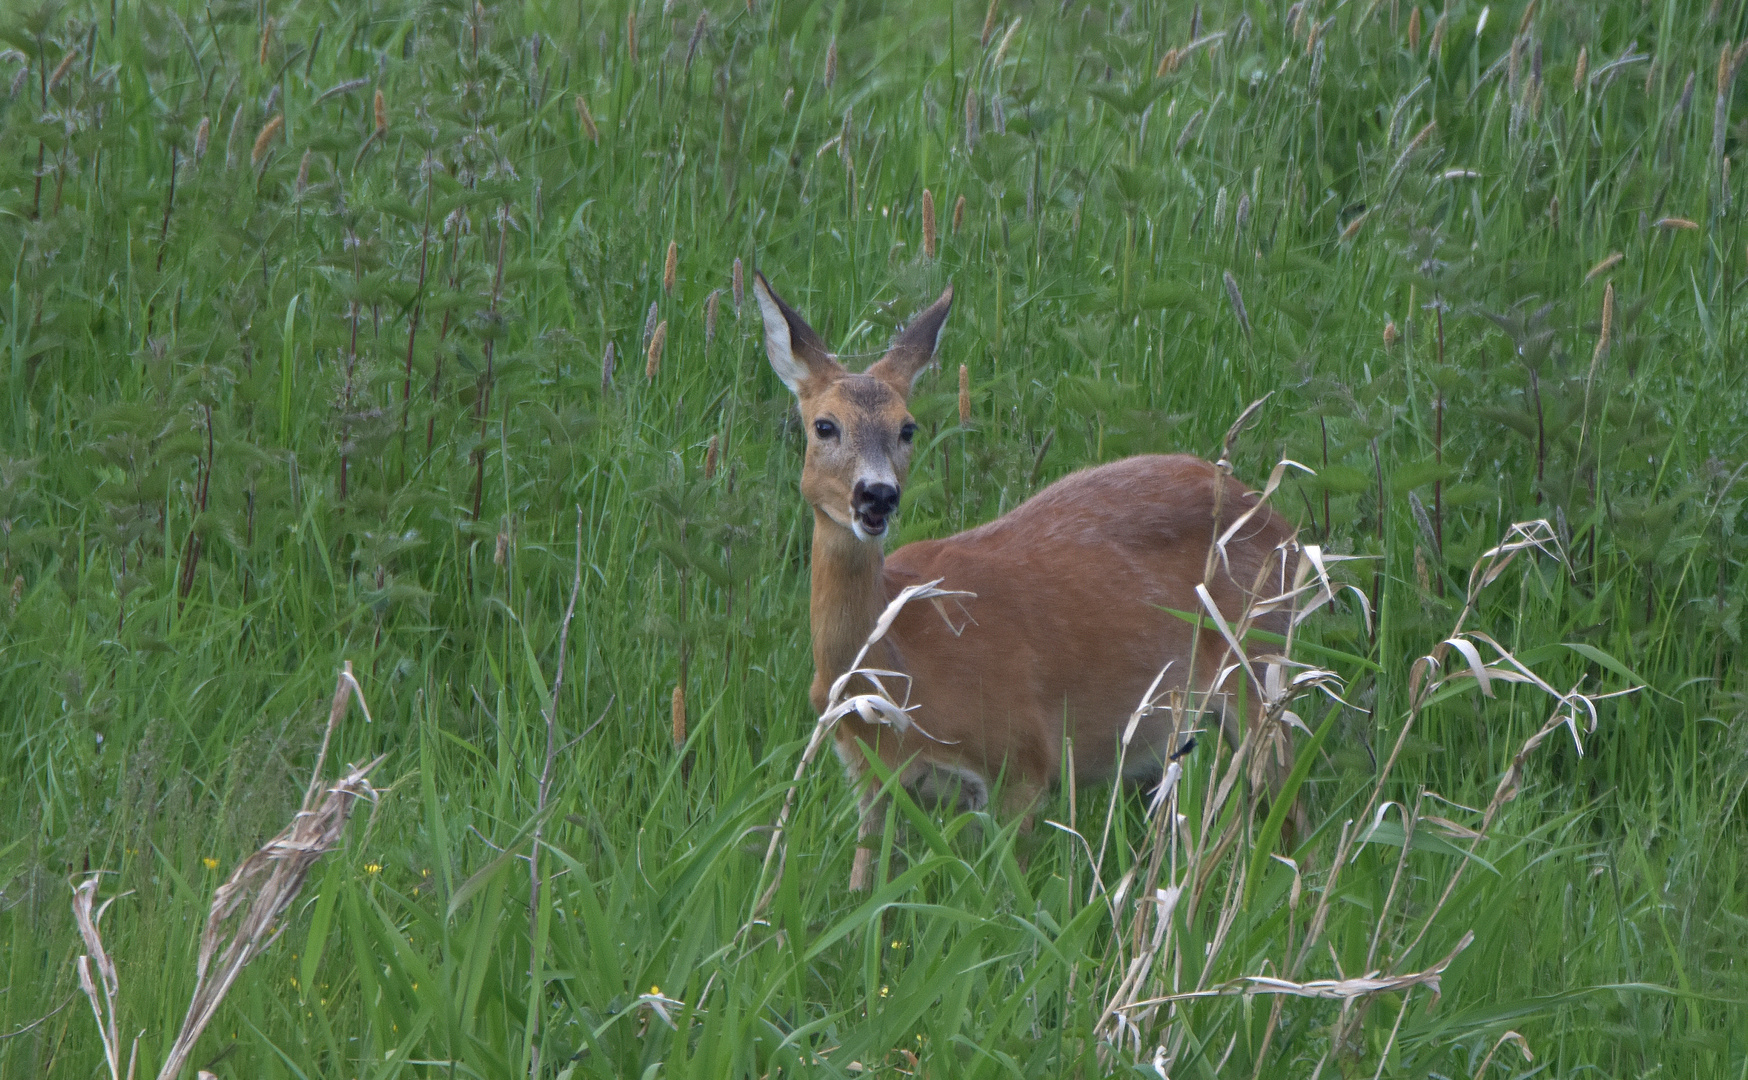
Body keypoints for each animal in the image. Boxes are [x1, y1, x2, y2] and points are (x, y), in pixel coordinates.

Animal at [758, 272, 1307, 887]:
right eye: (824, 426)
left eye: (908, 428)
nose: (877, 495)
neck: (897, 668)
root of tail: (1281, 524)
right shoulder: (869, 779)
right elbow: (864, 889)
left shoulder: (1024, 760)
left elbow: (1003, 893)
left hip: (1261, 669)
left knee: (1293, 810)